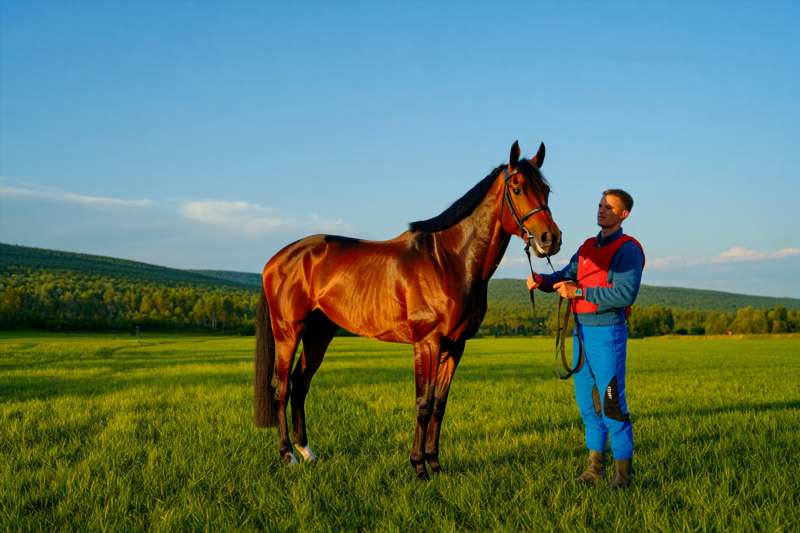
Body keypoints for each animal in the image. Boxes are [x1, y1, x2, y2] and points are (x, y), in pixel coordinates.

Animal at [254, 141, 561, 480]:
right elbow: (423, 404)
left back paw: (307, 452)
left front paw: (436, 465)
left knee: (300, 384)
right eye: (517, 188)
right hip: (288, 331)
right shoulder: (427, 342)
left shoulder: (456, 345)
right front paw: (419, 467)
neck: (449, 260)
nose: (550, 239)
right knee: (281, 387)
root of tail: (277, 258)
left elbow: (440, 404)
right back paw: (287, 455)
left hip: (319, 333)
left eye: (546, 190)